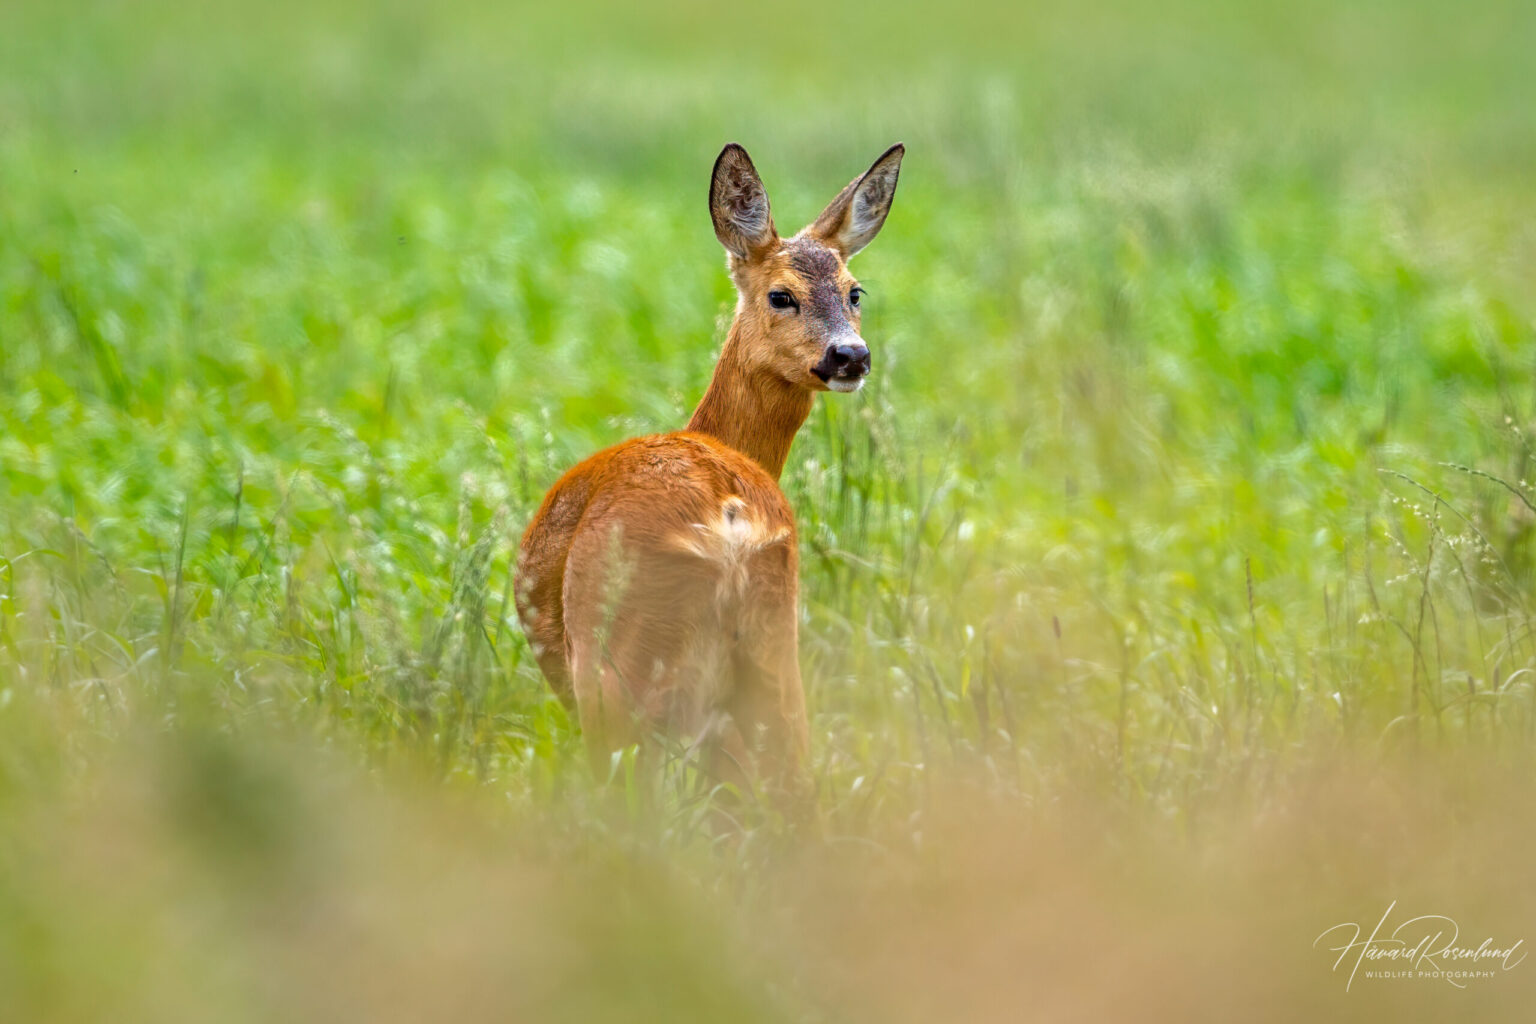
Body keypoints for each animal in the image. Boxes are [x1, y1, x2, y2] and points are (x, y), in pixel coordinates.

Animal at [515, 142, 904, 800]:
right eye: (781, 295)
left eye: (854, 292)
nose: (850, 355)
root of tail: (729, 517)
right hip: (776, 656)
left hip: (618, 668)